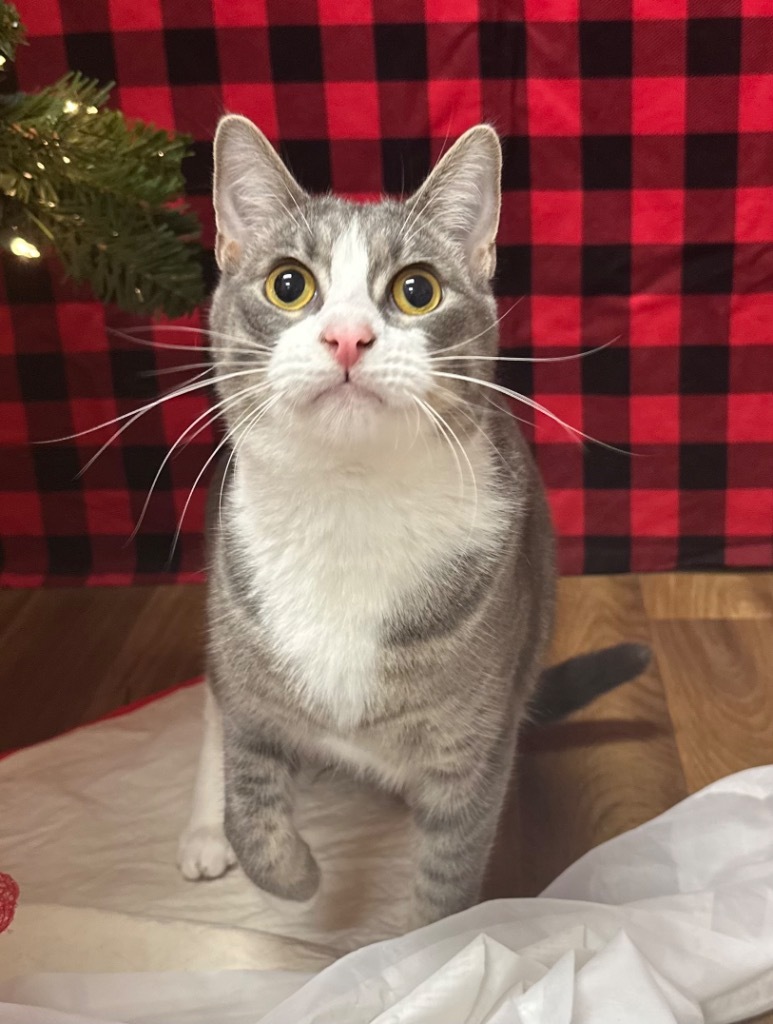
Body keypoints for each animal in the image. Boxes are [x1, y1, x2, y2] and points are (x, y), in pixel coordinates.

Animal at [178, 114, 651, 929]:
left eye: (416, 291)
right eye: (288, 284)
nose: (346, 336)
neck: (350, 506)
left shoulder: (473, 749)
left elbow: (448, 875)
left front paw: (428, 947)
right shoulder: (250, 689)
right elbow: (250, 802)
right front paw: (292, 875)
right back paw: (204, 832)